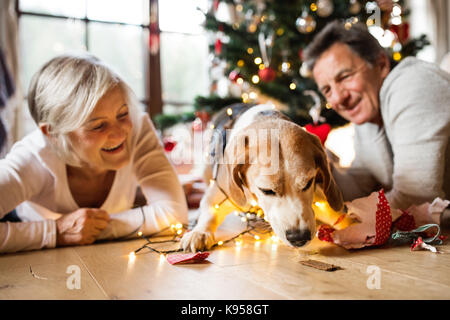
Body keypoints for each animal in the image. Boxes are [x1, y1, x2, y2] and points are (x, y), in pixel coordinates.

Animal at [181, 104, 342, 251]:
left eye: (308, 183)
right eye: (266, 190)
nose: (299, 237)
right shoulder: (217, 194)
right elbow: (210, 213)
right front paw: (199, 233)